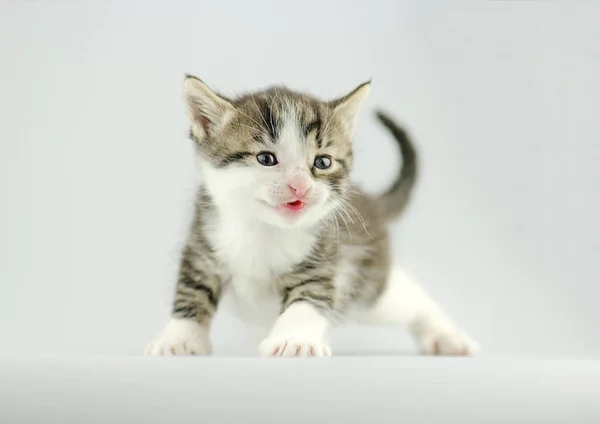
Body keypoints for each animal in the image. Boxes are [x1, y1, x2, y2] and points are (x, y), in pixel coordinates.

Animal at [146, 76, 482, 358]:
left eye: (322, 162)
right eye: (266, 158)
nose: (301, 186)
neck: (264, 231)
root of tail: (370, 202)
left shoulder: (325, 254)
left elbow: (308, 297)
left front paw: (294, 339)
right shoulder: (203, 239)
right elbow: (191, 290)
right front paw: (179, 338)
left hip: (368, 288)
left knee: (412, 297)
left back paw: (447, 335)